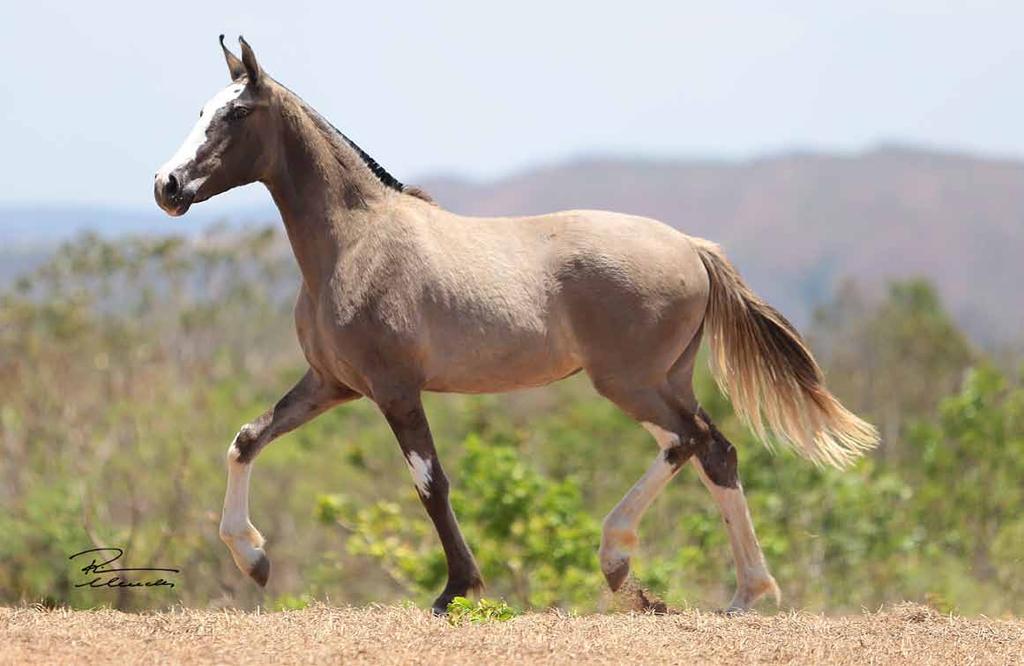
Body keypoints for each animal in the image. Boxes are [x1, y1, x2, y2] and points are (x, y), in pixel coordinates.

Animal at [153, 33, 880, 610]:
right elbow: (246, 440)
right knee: (709, 450)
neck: (356, 240)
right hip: (661, 381)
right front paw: (254, 559)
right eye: (200, 110)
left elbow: (430, 483)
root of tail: (693, 247)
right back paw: (720, 590)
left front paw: (457, 590)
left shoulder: (394, 390)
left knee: (695, 443)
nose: (167, 186)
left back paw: (649, 570)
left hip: (628, 382)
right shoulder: (332, 384)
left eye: (236, 113)